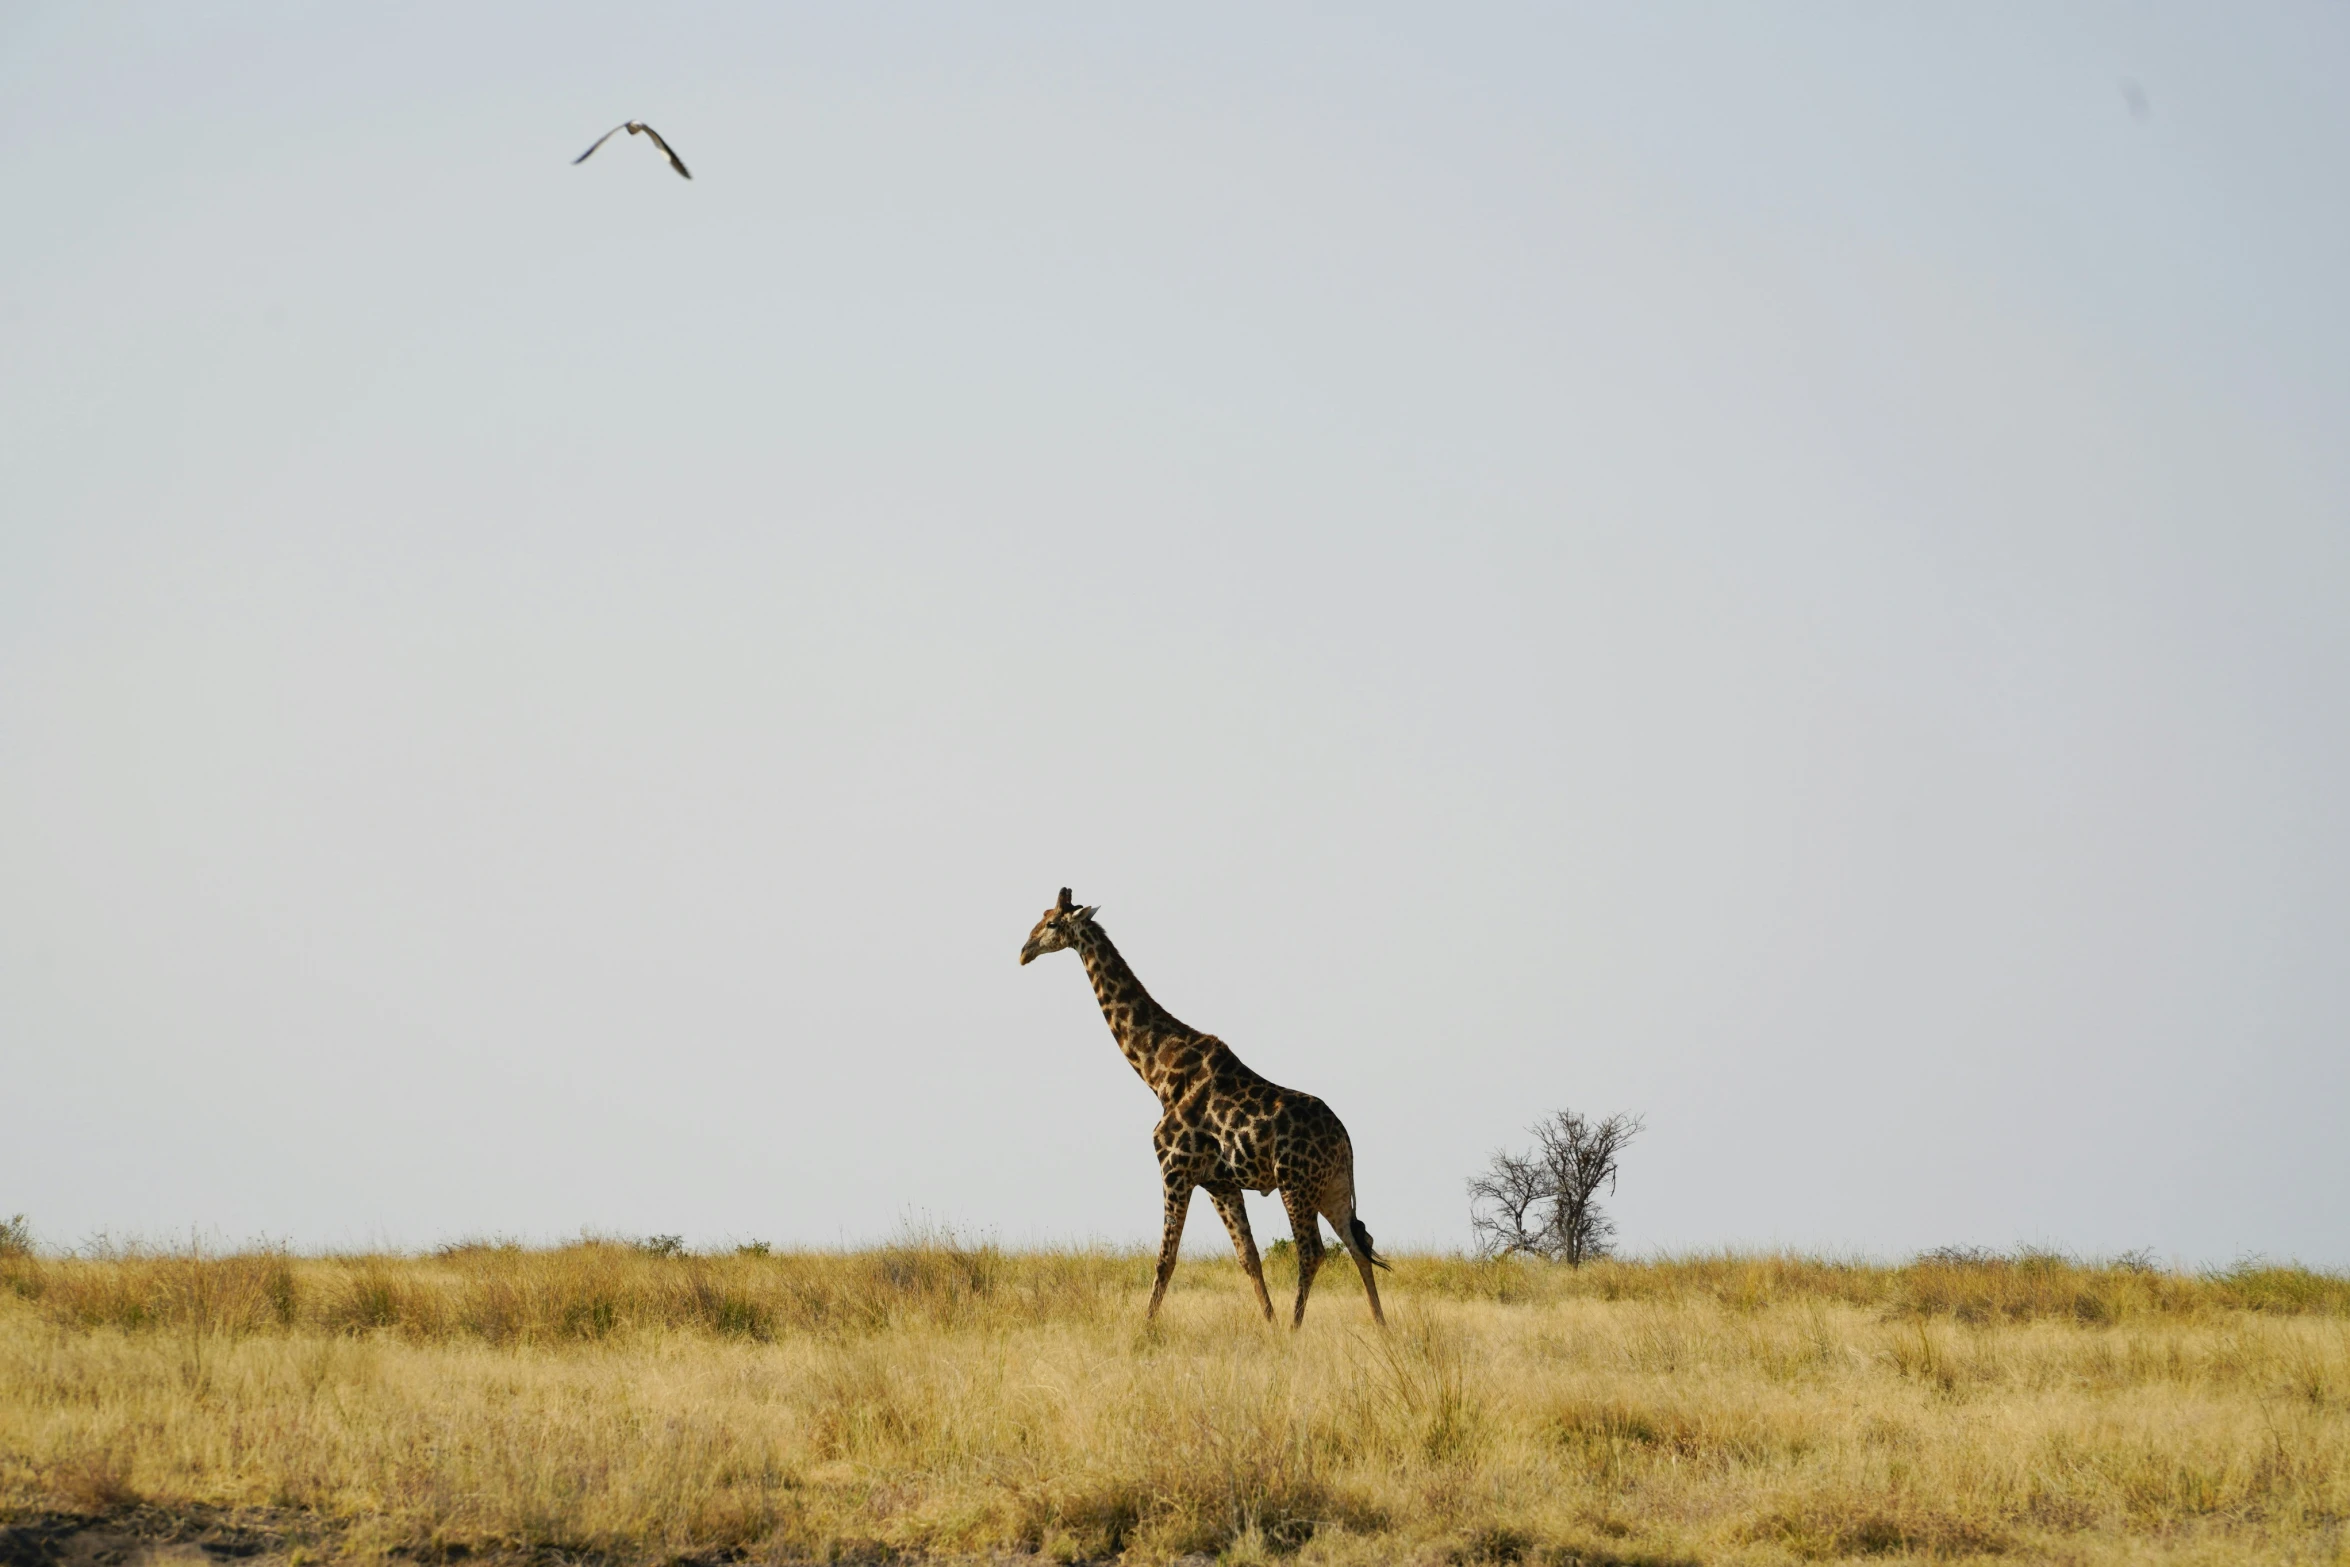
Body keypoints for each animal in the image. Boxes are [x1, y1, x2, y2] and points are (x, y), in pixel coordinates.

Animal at [1019, 888, 1381, 1334]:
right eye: (1041, 917)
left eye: (1052, 923)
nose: (1024, 951)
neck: (1158, 1071)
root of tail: (1345, 1139)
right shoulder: (1219, 1183)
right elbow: (1249, 1258)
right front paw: (1269, 1326)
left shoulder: (1175, 1169)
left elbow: (1165, 1259)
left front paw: (1145, 1329)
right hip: (1332, 1186)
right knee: (1359, 1245)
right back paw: (1381, 1328)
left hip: (1295, 1183)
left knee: (1313, 1251)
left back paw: (1297, 1331)